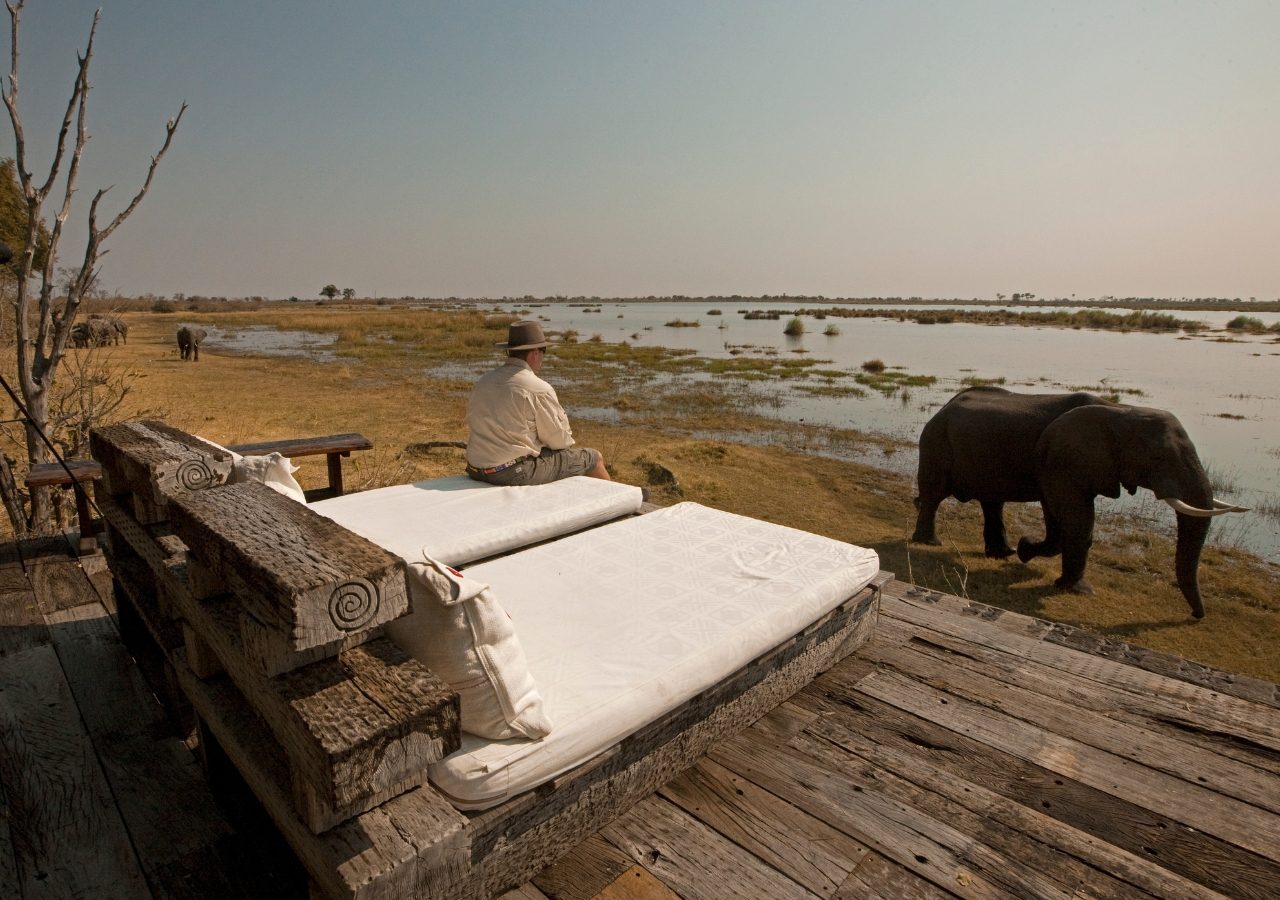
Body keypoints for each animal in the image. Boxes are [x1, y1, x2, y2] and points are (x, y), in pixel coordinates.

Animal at [911, 386, 1249, 619]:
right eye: (1158, 457)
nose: (1196, 616)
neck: (1120, 411)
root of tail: (944, 406)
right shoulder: (1063, 460)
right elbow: (1076, 518)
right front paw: (1073, 586)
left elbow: (1057, 515)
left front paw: (1026, 552)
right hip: (935, 444)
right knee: (933, 496)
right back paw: (930, 542)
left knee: (992, 503)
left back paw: (1002, 553)